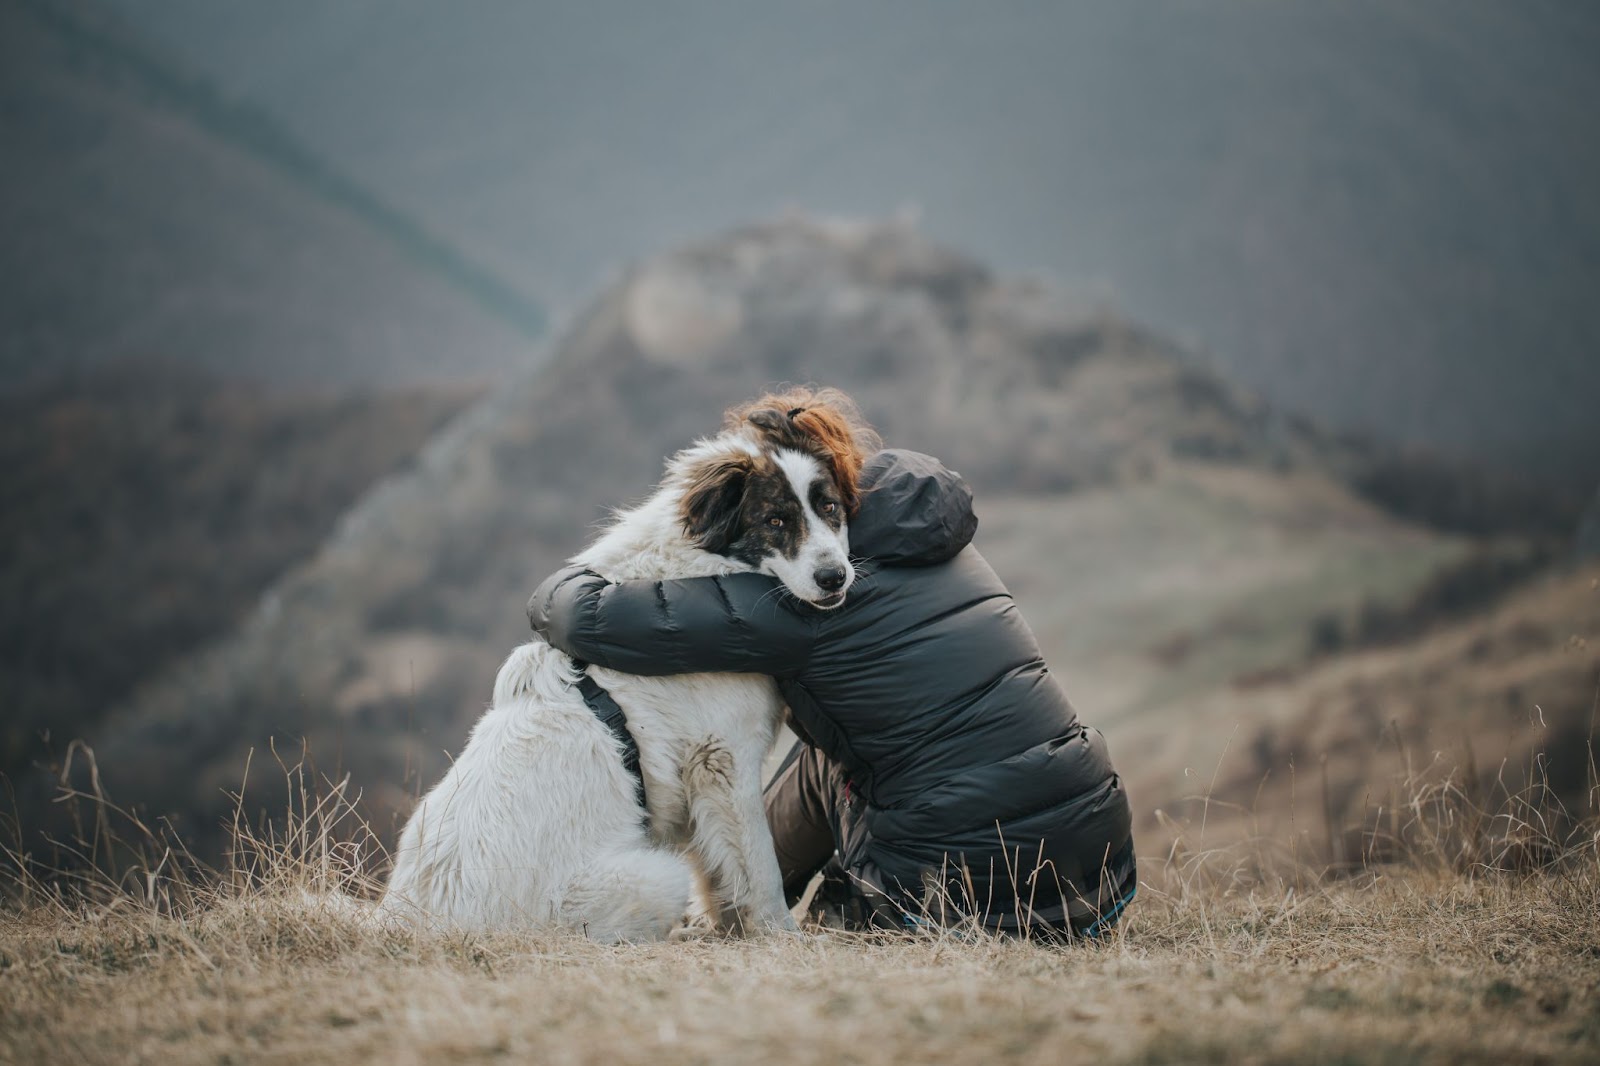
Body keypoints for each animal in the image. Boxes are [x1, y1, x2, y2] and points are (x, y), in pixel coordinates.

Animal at [379, 385, 870, 934]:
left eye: (829, 508)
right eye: (776, 520)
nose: (835, 577)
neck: (701, 568)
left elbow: (719, 874)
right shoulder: (724, 762)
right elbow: (758, 868)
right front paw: (778, 933)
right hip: (655, 878)